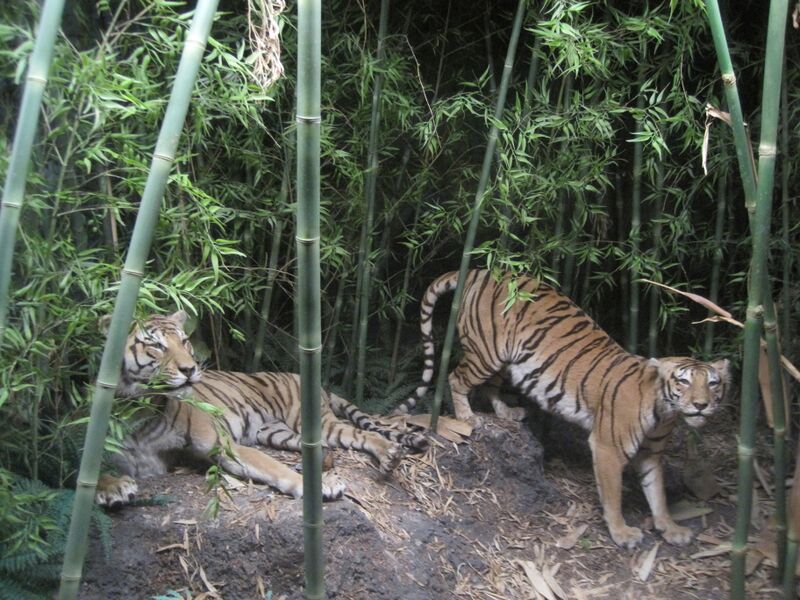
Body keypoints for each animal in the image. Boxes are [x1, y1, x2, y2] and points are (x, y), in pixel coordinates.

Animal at [95, 310, 427, 508]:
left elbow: (273, 467)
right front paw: (113, 487)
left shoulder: (224, 446)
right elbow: (91, 473)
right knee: (326, 446)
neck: (139, 410)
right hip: (278, 433)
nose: (190, 369)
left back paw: (389, 455)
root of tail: (308, 378)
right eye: (156, 346)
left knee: (362, 435)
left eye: (186, 342)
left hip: (314, 422)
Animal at [394, 269, 731, 548]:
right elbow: (613, 495)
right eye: (683, 382)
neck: (665, 413)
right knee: (456, 377)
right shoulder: (607, 448)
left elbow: (657, 493)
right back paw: (467, 418)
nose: (701, 405)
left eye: (713, 384)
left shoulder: (651, 453)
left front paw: (670, 528)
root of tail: (482, 269)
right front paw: (622, 533)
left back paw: (507, 413)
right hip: (485, 353)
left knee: (490, 386)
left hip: (503, 360)